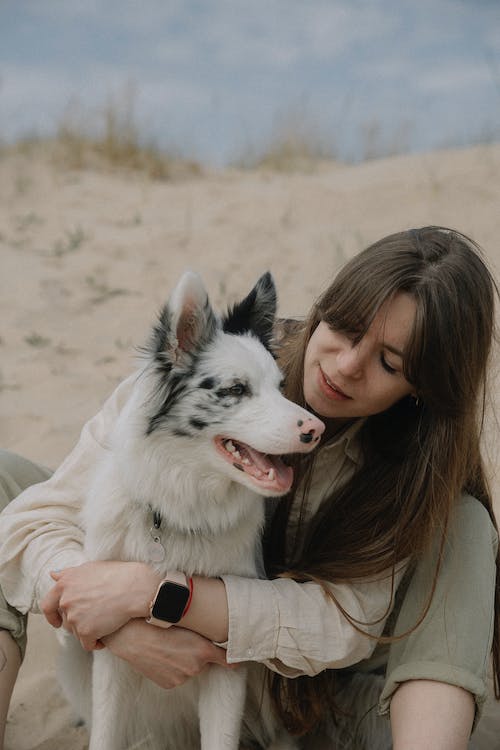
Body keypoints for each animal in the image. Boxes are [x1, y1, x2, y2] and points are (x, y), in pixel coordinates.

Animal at [58, 272, 324, 750]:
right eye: (236, 390)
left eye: (280, 387)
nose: (317, 429)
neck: (179, 510)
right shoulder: (110, 652)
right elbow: (105, 734)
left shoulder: (226, 668)